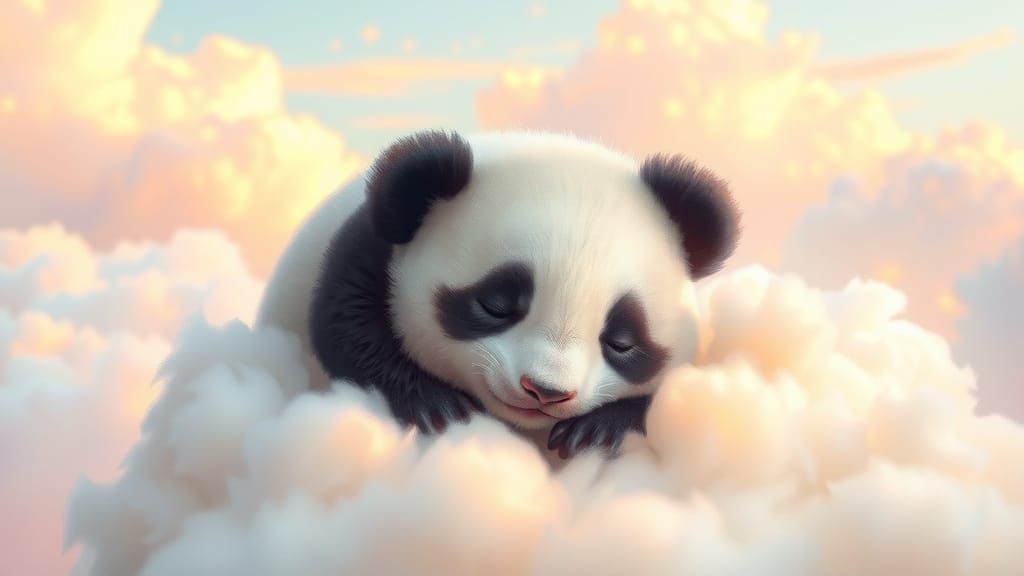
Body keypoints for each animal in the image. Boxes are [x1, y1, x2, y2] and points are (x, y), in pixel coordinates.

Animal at [255, 130, 740, 461]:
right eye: (496, 305)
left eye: (621, 341)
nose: (545, 391)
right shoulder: (369, 251)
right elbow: (345, 326)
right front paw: (437, 406)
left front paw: (599, 430)